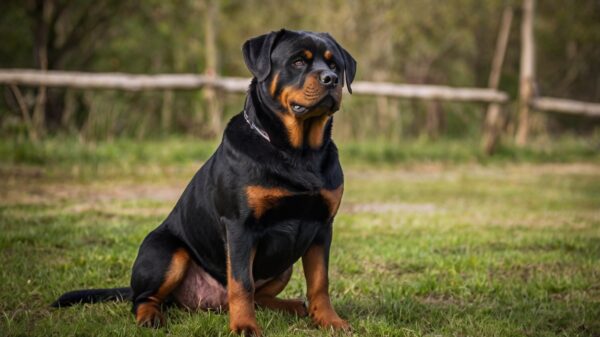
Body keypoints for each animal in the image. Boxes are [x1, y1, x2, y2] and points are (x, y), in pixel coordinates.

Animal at [51, 29, 356, 336]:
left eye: (334, 65)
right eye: (298, 62)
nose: (331, 79)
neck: (298, 153)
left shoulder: (322, 226)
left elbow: (319, 282)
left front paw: (329, 320)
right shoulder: (240, 226)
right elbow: (242, 283)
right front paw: (244, 326)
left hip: (283, 266)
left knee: (261, 297)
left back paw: (292, 306)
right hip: (165, 252)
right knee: (143, 298)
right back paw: (150, 317)